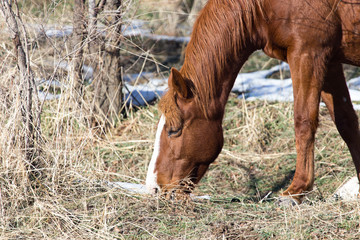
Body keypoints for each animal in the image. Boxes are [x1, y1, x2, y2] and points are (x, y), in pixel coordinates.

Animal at [146, 0, 360, 204]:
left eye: (173, 130)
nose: (153, 187)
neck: (261, 7)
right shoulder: (329, 62)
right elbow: (346, 123)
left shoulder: (308, 54)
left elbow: (303, 122)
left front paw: (295, 191)